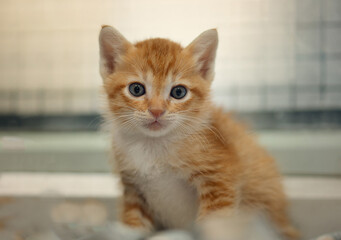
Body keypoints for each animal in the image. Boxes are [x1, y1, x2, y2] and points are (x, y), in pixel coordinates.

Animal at [97, 25, 298, 239]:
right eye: (136, 89)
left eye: (178, 92)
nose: (157, 111)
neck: (154, 146)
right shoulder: (133, 189)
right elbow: (134, 224)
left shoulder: (219, 179)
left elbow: (215, 222)